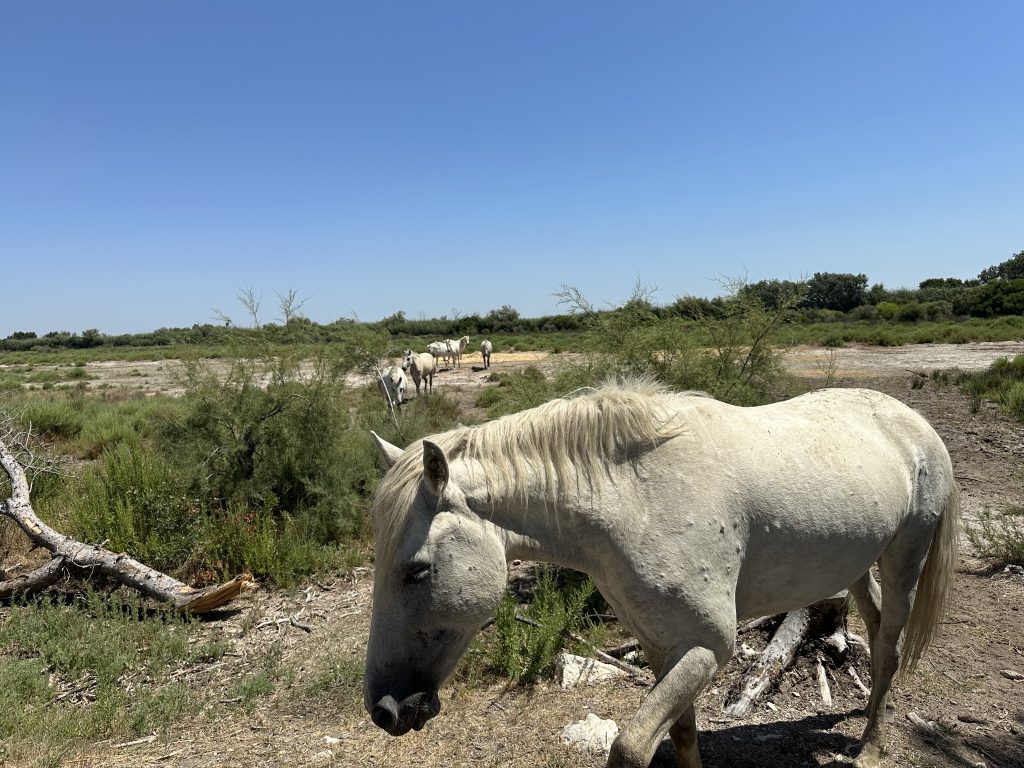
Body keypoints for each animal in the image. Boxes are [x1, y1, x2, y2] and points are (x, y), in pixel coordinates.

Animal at [364, 380, 959, 768]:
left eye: (416, 570)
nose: (385, 710)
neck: (635, 501)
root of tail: (916, 423)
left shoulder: (709, 647)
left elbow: (631, 748)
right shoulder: (660, 645)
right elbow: (684, 735)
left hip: (906, 558)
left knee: (889, 648)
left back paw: (871, 748)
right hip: (858, 565)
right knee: (877, 631)